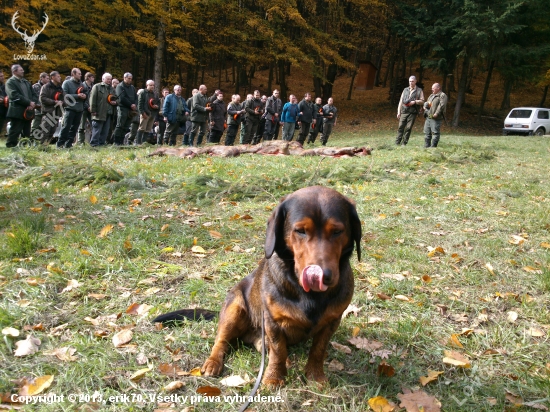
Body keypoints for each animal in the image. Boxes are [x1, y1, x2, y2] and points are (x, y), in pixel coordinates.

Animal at [155, 187, 362, 386]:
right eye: (300, 230)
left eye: (337, 231)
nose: (325, 276)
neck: (308, 294)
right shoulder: (272, 322)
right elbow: (278, 352)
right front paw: (274, 378)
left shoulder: (331, 322)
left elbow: (318, 351)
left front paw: (315, 376)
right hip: (234, 308)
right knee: (221, 341)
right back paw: (213, 362)